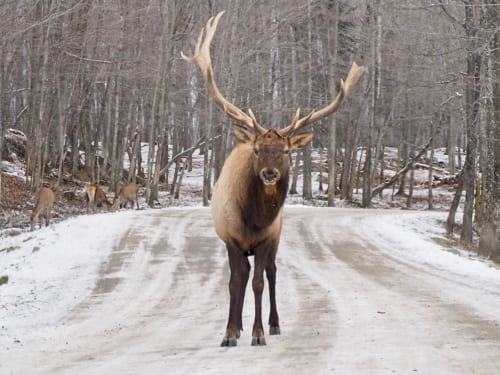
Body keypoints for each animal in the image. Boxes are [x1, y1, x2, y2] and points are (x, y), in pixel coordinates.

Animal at [182, 11, 366, 346]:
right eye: (257, 149)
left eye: (286, 150)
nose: (270, 173)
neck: (253, 219)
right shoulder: (230, 237)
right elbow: (235, 282)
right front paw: (230, 332)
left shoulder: (268, 238)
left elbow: (258, 282)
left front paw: (258, 333)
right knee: (243, 276)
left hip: (278, 238)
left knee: (271, 273)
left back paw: (274, 324)